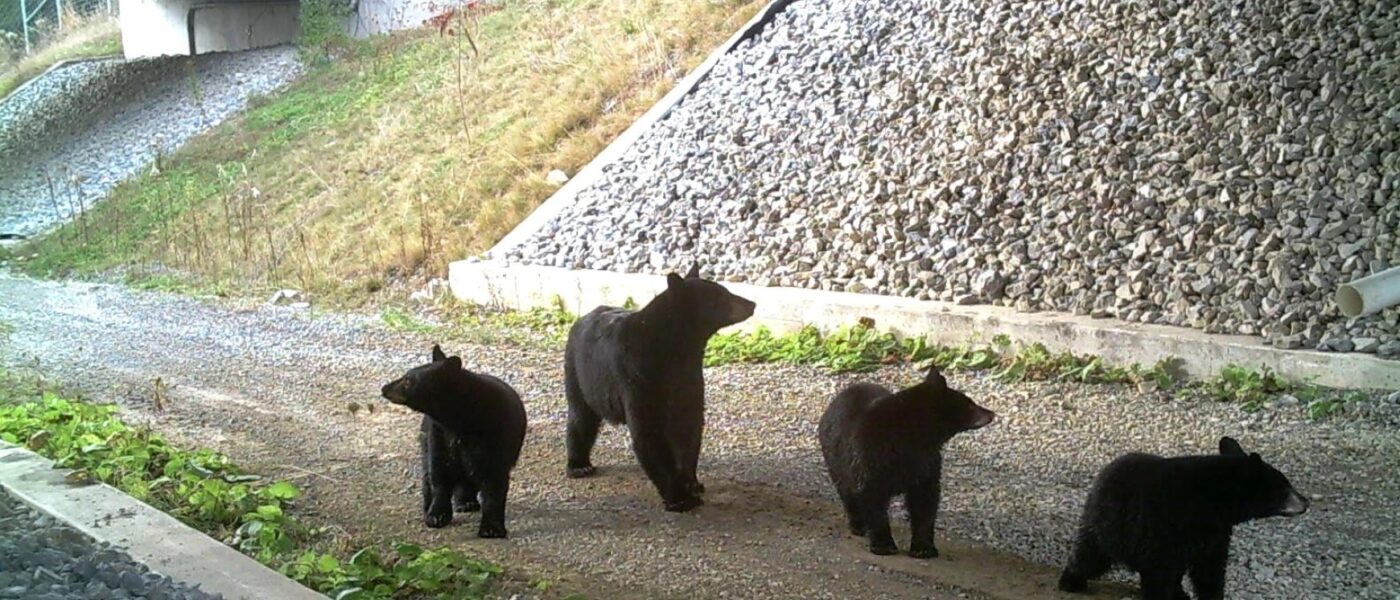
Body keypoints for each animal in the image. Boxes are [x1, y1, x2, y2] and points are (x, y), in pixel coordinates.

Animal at [380, 344, 527, 538]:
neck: (457, 420)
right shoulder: (438, 434)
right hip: (426, 438)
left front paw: (491, 528)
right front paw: (436, 515)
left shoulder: (494, 437)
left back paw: (466, 502)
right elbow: (438, 474)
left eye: (408, 380)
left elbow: (494, 482)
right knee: (429, 471)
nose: (384, 388)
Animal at [562, 263, 756, 512]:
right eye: (721, 295)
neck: (674, 349)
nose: (752, 304)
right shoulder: (638, 378)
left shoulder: (688, 378)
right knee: (581, 417)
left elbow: (688, 428)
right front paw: (679, 498)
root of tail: (583, 317)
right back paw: (579, 465)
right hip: (578, 373)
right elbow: (648, 433)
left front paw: (691, 483)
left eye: (725, 290)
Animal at [818, 364, 995, 558]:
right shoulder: (869, 456)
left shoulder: (927, 462)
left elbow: (925, 501)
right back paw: (858, 525)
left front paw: (923, 548)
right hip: (836, 461)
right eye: (970, 404)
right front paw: (883, 545)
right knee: (847, 492)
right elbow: (872, 497)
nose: (991, 413)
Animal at [1058, 436, 1310, 600]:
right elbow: (1160, 572)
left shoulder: (1217, 534)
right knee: (1090, 554)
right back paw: (1071, 580)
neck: (1214, 504)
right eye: (1285, 488)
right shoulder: (1164, 524)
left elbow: (1210, 570)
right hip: (1108, 524)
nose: (1306, 502)